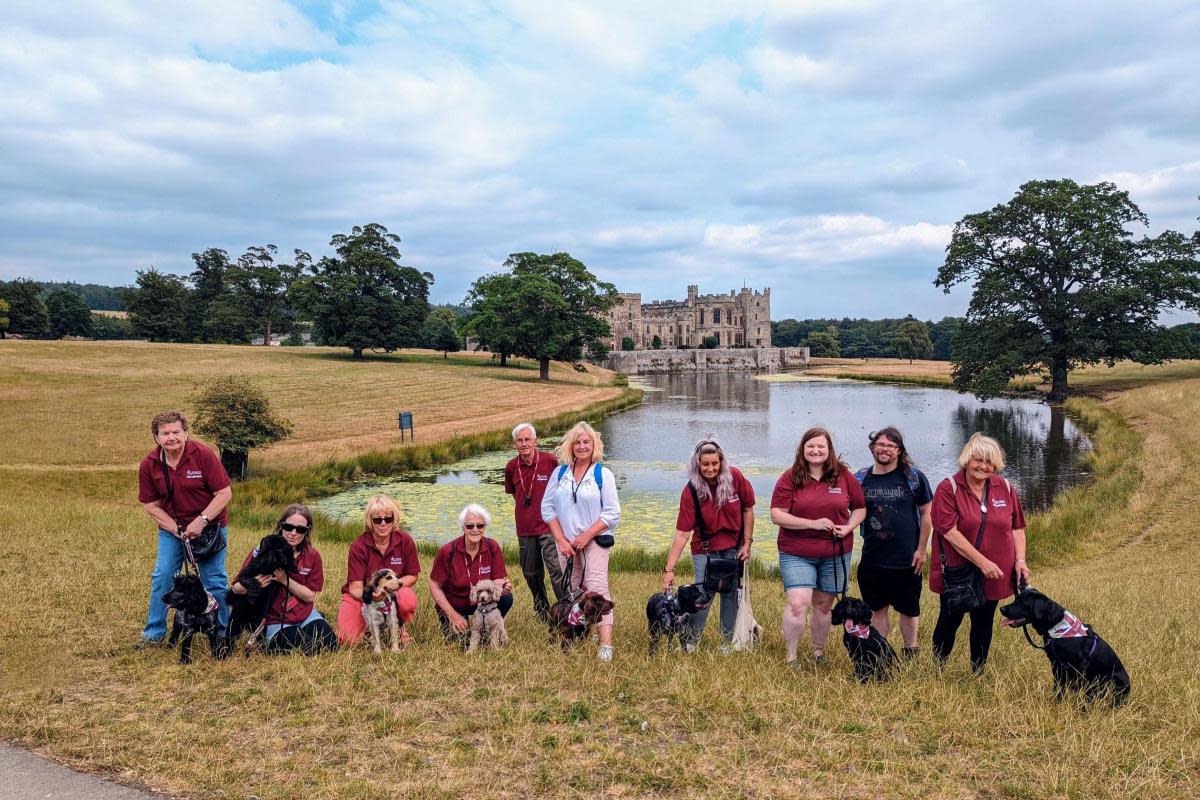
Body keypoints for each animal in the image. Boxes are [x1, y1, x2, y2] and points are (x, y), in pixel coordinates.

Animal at [998, 587, 1128, 705]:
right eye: (1016, 599)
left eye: (1023, 603)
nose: (1001, 609)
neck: (1056, 625)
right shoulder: (1056, 664)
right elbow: (1058, 689)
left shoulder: (1080, 666)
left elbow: (1079, 690)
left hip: (1112, 681)